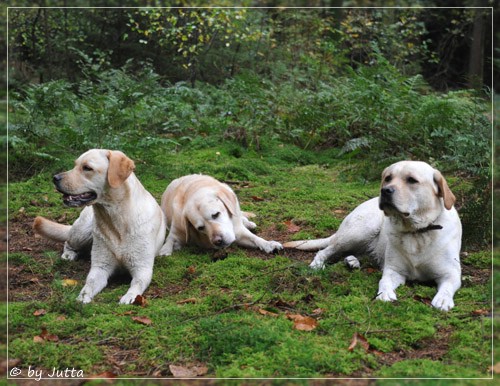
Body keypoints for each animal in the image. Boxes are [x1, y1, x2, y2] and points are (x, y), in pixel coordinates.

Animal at [33, 149, 166, 304]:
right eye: (75, 165)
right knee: (68, 241)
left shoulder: (142, 269)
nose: (55, 178)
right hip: (82, 231)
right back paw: (68, 254)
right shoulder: (100, 267)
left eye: (87, 168)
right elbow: (89, 283)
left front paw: (129, 296)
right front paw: (82, 297)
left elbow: (136, 284)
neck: (115, 220)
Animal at [284, 161, 462, 312]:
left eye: (412, 180)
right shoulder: (393, 270)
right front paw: (384, 294)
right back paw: (317, 265)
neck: (416, 232)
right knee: (325, 251)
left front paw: (443, 299)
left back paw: (352, 261)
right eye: (388, 178)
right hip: (361, 230)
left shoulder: (451, 273)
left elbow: (447, 287)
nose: (385, 190)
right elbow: (384, 281)